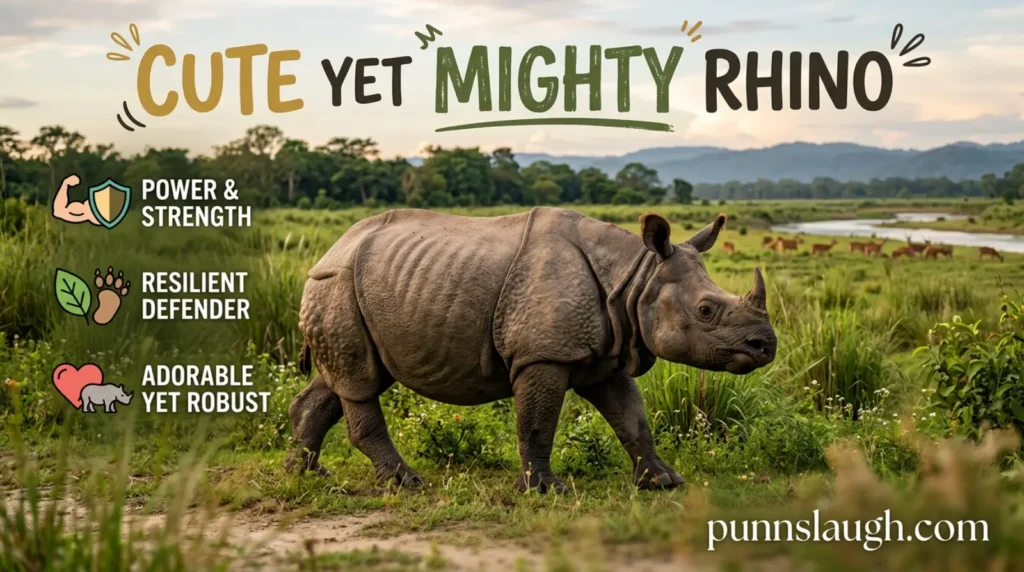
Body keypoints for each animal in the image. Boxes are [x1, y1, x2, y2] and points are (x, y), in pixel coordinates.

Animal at [287, 208, 776, 492]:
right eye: (706, 310)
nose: (766, 345)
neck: (635, 277)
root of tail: (329, 250)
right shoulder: (544, 355)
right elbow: (538, 422)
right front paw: (545, 490)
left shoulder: (607, 354)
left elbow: (633, 420)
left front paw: (665, 481)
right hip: (337, 285)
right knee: (360, 381)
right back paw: (407, 484)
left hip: (353, 287)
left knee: (343, 380)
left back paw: (305, 474)